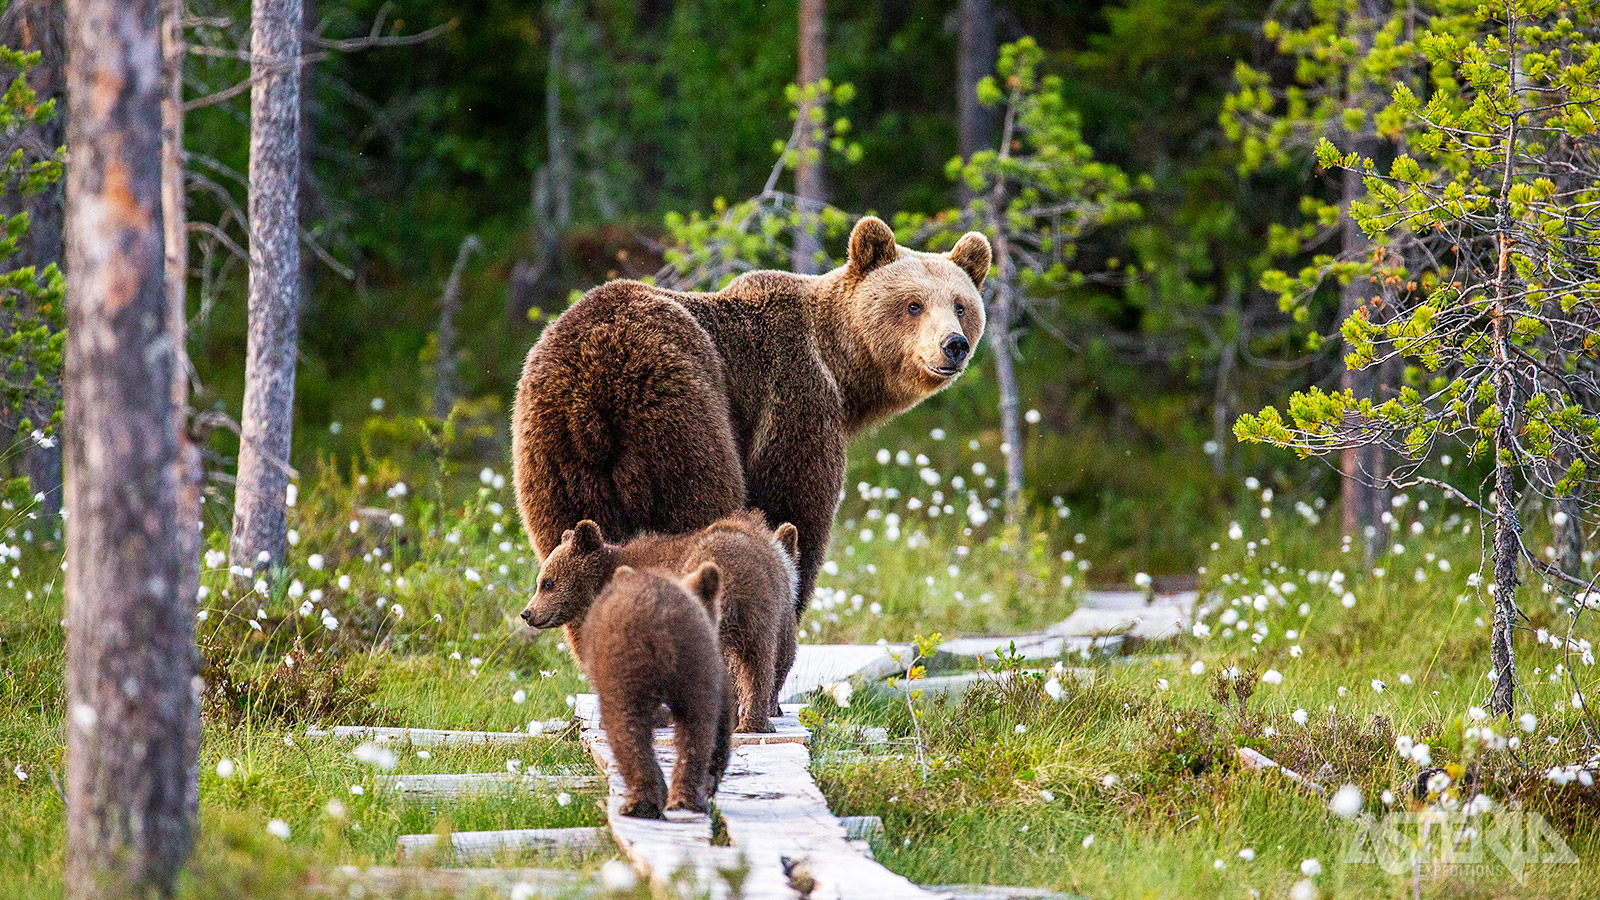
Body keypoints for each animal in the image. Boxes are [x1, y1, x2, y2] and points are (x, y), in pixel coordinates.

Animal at [512, 216, 985, 608]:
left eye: (960, 304)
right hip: (675, 414)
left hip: (552, 457)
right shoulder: (794, 398)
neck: (840, 370)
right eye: (913, 304)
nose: (954, 345)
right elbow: (792, 507)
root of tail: (590, 388)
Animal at [521, 509, 800, 733]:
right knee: (758, 661)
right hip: (759, 611)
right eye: (540, 581)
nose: (527, 613)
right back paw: (752, 722)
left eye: (547, 582)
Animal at [553, 557, 729, 816]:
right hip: (691, 661)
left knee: (631, 725)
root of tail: (661, 620)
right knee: (695, 725)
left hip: (627, 668)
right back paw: (676, 800)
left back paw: (648, 801)